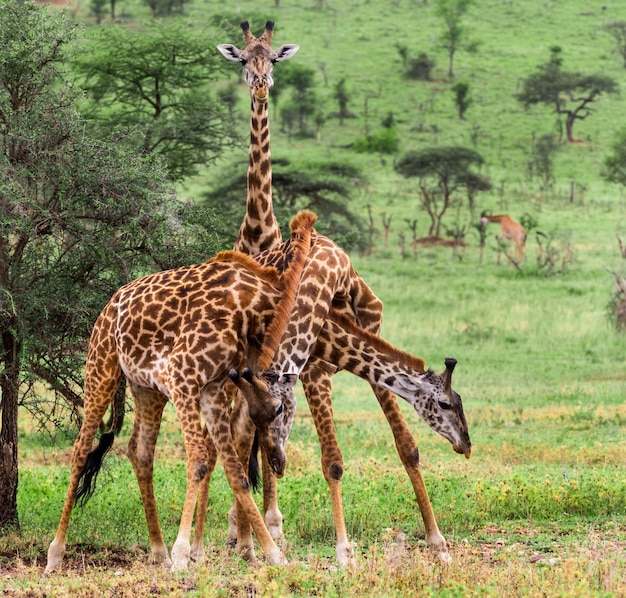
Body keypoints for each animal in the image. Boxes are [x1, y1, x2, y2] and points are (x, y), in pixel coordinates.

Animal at [45, 211, 316, 576]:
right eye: (278, 410)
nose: (278, 462)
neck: (248, 314)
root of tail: (110, 304)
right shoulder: (183, 378)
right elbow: (199, 461)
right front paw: (183, 554)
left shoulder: (212, 388)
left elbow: (235, 471)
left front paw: (273, 555)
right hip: (101, 368)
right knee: (80, 449)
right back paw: (55, 554)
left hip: (145, 388)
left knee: (140, 451)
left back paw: (157, 551)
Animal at [219, 17, 468, 564]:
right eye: (243, 60)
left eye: (273, 58)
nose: (260, 84)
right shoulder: (297, 372)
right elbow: (310, 454)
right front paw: (328, 546)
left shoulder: (331, 362)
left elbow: (389, 448)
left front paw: (430, 541)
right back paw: (247, 532)